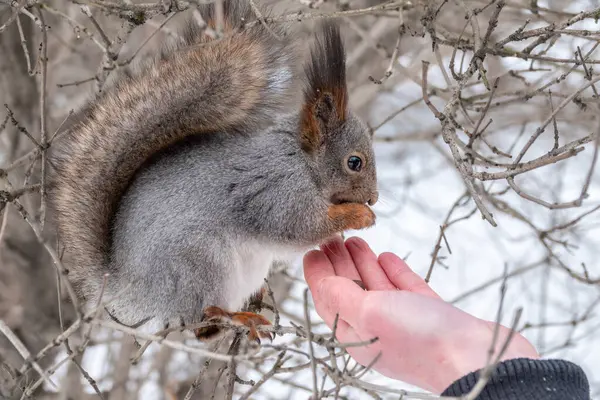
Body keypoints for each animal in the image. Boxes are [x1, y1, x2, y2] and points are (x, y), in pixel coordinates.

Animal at [50, 0, 380, 344]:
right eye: (354, 162)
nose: (373, 198)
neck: (301, 161)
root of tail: (129, 290)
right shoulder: (279, 192)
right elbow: (302, 227)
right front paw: (358, 216)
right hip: (201, 261)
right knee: (201, 326)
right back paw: (232, 318)